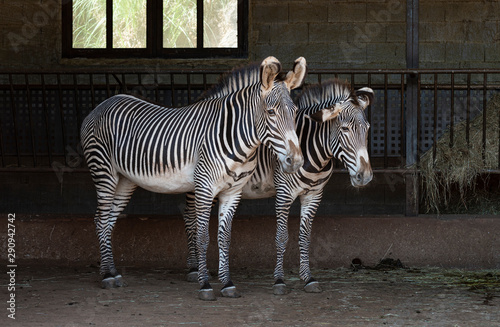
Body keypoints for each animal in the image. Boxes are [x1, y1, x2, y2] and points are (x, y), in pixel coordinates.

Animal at [80, 55, 306, 300]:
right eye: (271, 112)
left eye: (294, 112)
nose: (295, 161)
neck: (235, 137)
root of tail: (102, 105)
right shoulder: (204, 188)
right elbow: (202, 236)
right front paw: (205, 284)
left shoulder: (232, 192)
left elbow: (224, 238)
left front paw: (227, 284)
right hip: (104, 171)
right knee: (101, 219)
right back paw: (106, 276)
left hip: (125, 180)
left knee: (110, 220)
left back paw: (113, 272)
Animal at [182, 79, 374, 294]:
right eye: (345, 129)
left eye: (367, 128)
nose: (365, 176)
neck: (312, 153)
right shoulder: (284, 193)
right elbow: (282, 237)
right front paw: (279, 280)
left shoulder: (314, 195)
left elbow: (305, 237)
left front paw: (308, 278)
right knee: (190, 218)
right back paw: (194, 269)